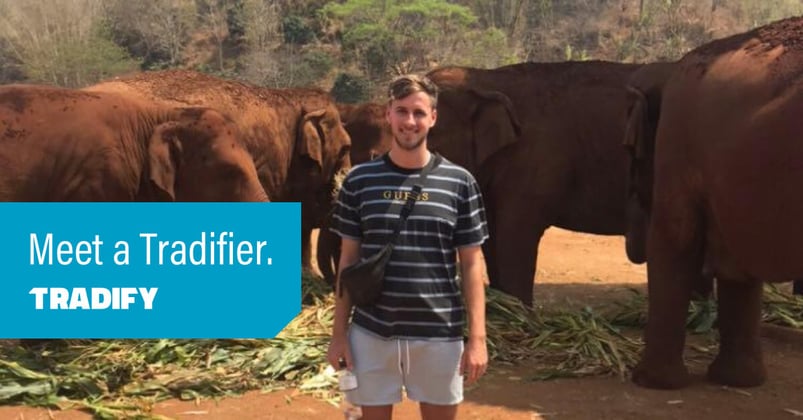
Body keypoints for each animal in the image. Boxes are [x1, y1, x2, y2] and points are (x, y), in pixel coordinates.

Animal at [428, 60, 648, 306]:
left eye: (427, 136)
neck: (484, 80)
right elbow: (491, 237)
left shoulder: (535, 160)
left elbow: (515, 236)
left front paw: (518, 310)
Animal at [624, 16, 803, 390]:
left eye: (632, 155)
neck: (668, 69)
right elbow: (737, 263)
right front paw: (740, 381)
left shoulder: (678, 139)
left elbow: (675, 239)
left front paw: (651, 382)